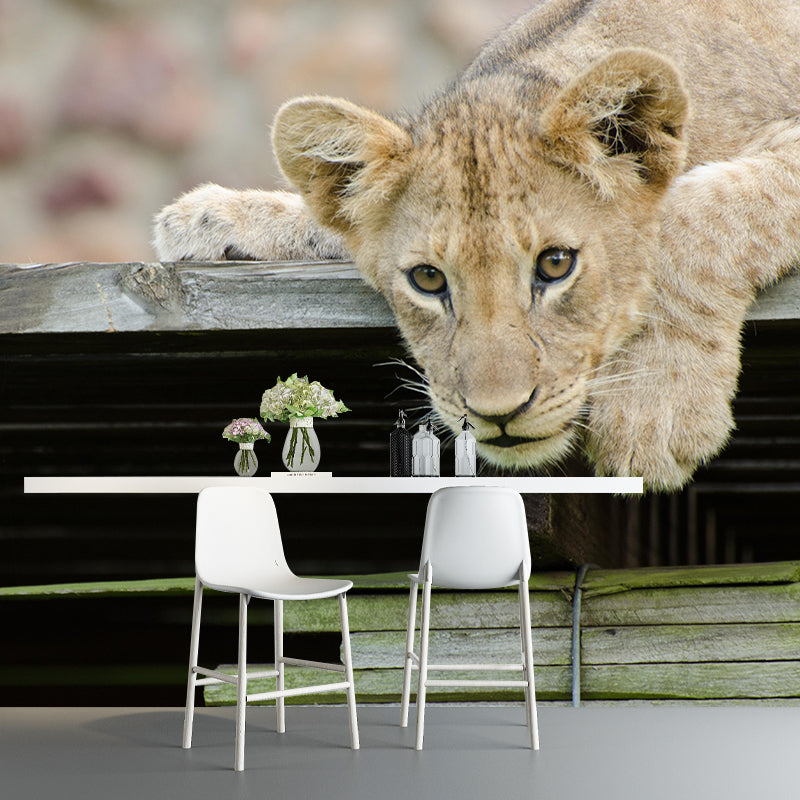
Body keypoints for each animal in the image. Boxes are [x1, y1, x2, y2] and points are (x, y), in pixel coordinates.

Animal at [153, 0, 800, 491]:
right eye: (428, 279)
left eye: (556, 265)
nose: (498, 415)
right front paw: (208, 218)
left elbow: (694, 216)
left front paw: (655, 405)